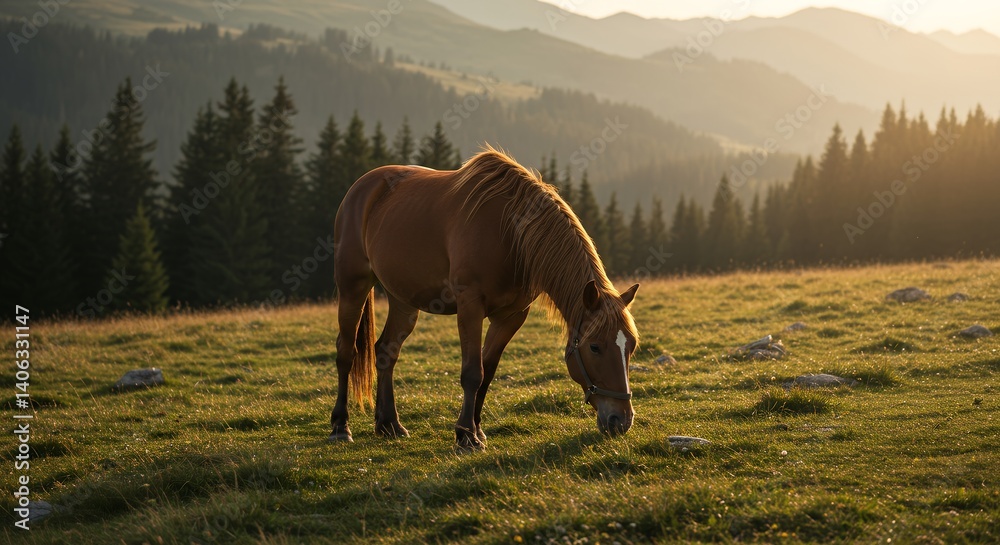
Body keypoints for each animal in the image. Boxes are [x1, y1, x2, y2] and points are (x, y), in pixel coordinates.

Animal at [329, 147, 640, 450]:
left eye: (631, 347)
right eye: (595, 347)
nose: (621, 421)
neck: (511, 234)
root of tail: (362, 187)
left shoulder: (511, 316)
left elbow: (487, 373)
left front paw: (476, 429)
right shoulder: (470, 305)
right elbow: (472, 372)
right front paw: (466, 436)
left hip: (403, 300)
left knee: (386, 352)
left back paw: (389, 424)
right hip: (353, 287)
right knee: (346, 351)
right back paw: (340, 427)